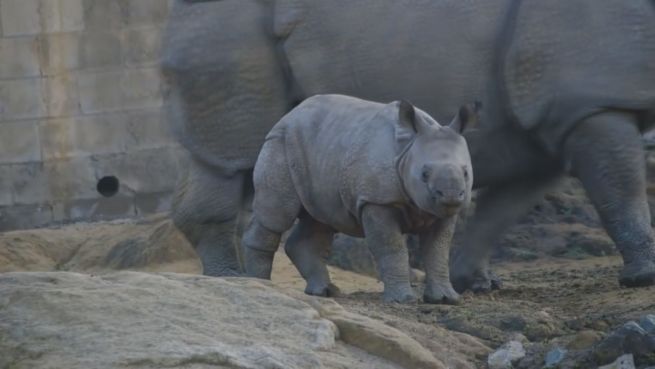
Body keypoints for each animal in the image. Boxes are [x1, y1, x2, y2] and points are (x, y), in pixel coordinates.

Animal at [245, 93, 476, 304]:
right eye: (424, 174)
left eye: (466, 173)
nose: (451, 195)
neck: (407, 149)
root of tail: (290, 114)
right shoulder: (377, 200)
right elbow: (391, 247)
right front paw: (402, 300)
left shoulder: (442, 212)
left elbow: (438, 251)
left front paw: (446, 299)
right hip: (280, 142)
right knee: (277, 216)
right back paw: (260, 283)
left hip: (323, 151)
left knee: (320, 220)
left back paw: (326, 292)